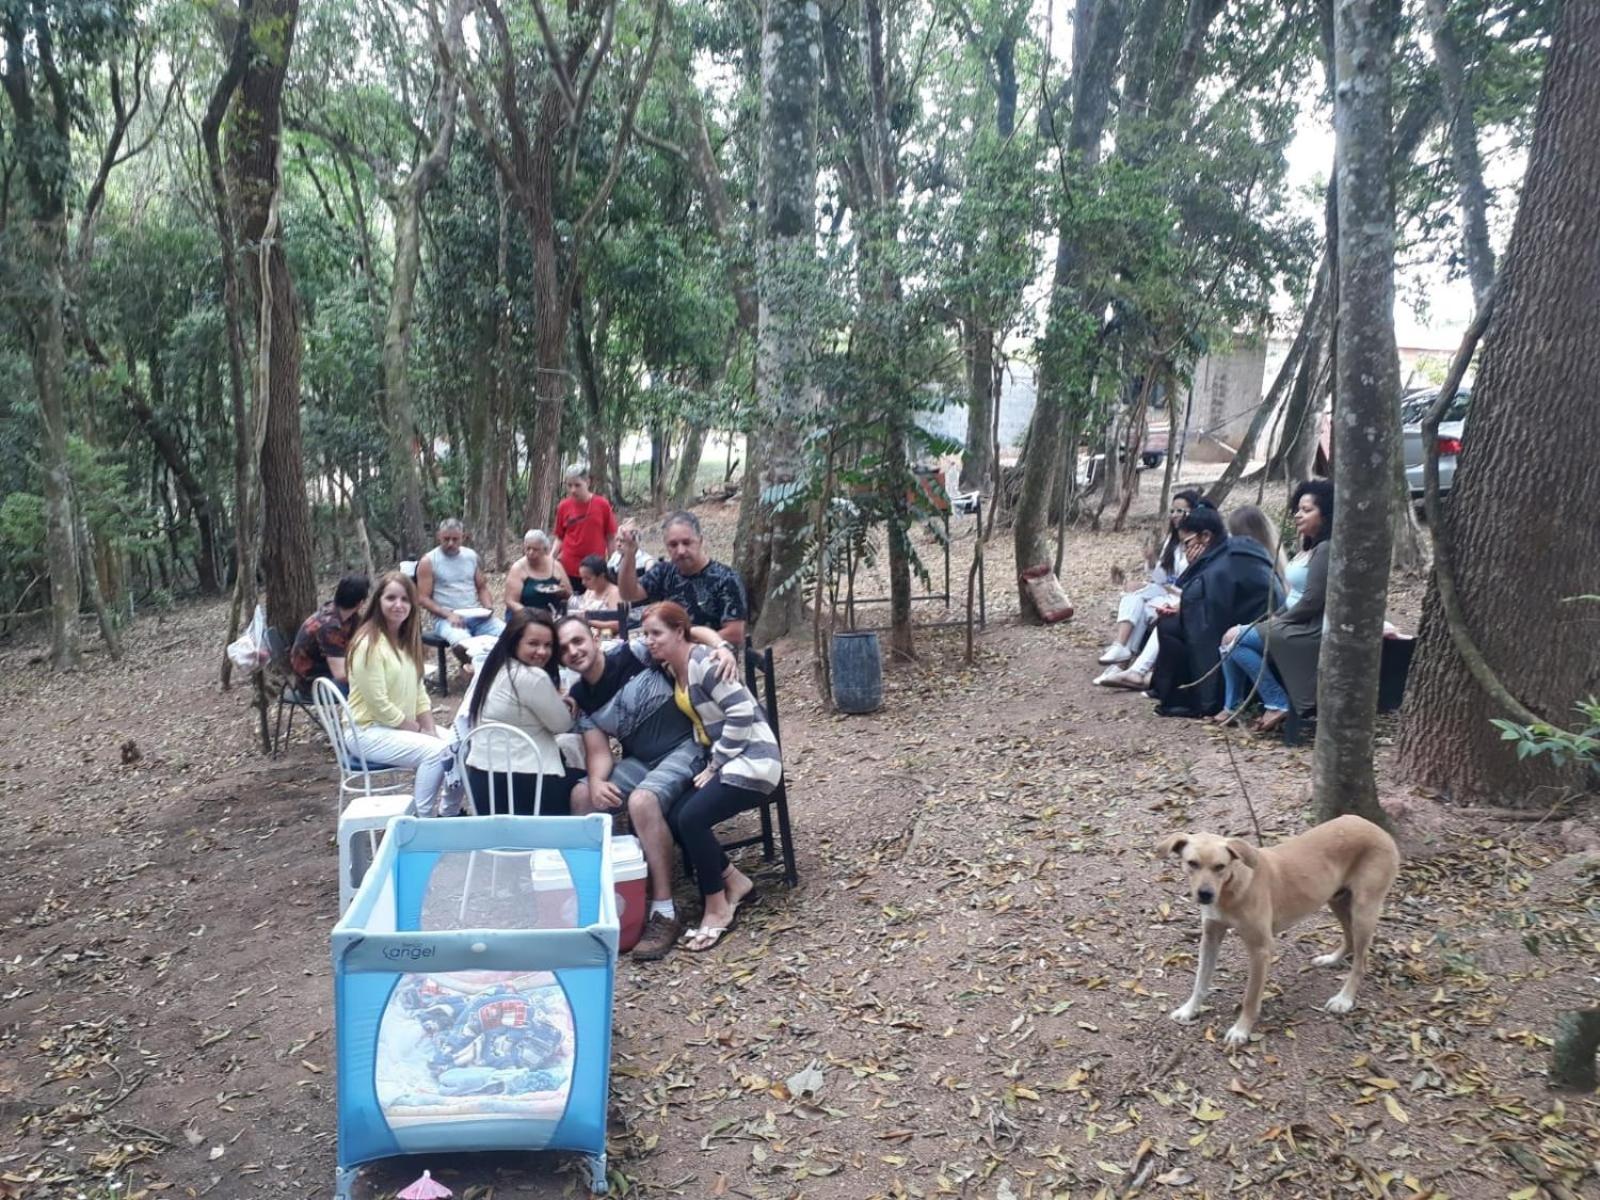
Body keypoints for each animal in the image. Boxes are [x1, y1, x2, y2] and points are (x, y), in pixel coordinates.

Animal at [1158, 819, 1395, 1049]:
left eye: (1220, 867)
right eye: (1192, 863)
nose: (1205, 894)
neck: (1231, 887)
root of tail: (1377, 828)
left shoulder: (1261, 949)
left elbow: (1251, 997)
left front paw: (1241, 1030)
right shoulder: (1210, 938)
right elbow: (1200, 980)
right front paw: (1189, 1009)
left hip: (1364, 910)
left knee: (1361, 961)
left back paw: (1344, 999)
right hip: (1336, 899)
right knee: (1349, 938)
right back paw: (1331, 959)